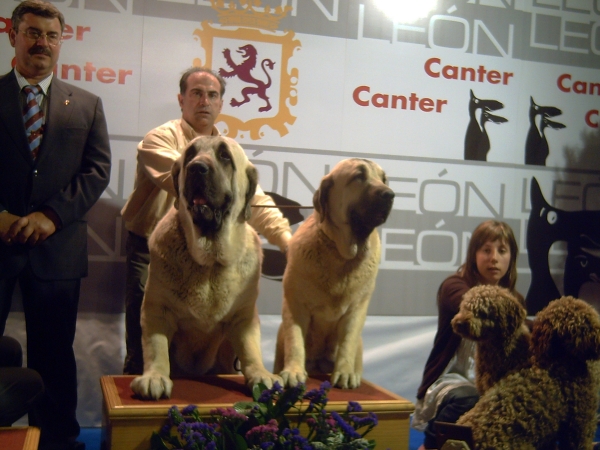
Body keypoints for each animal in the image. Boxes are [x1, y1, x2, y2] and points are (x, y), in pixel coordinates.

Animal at [130, 135, 280, 400]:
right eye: (189, 155)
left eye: (224, 156)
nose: (196, 168)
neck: (209, 264)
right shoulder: (156, 310)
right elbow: (156, 347)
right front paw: (154, 377)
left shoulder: (244, 317)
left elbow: (250, 348)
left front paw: (261, 374)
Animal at [274, 157, 396, 386]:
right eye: (359, 176)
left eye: (384, 179)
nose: (389, 194)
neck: (342, 256)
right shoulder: (295, 304)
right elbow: (295, 340)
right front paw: (294, 371)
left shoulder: (356, 309)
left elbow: (347, 342)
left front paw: (345, 373)